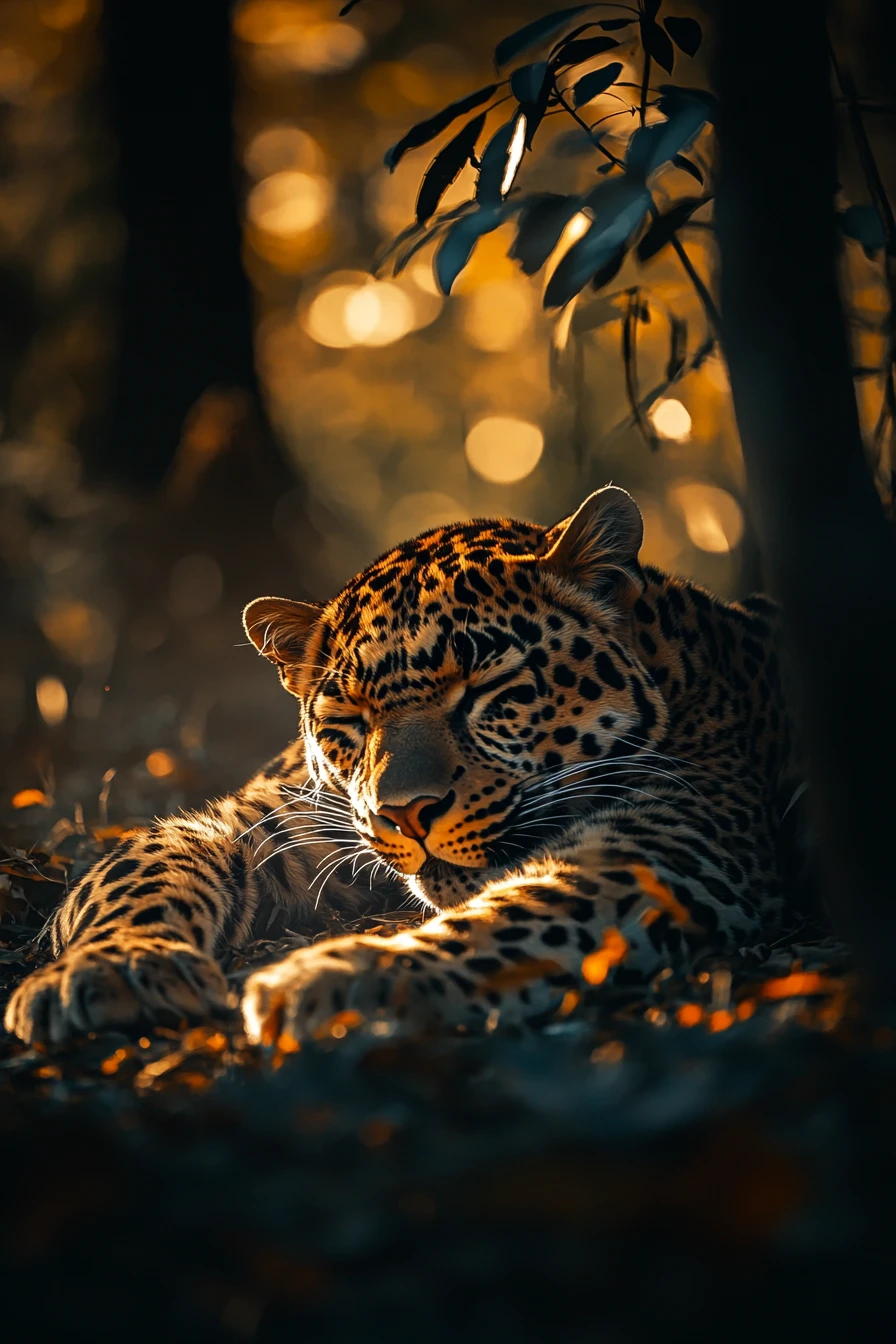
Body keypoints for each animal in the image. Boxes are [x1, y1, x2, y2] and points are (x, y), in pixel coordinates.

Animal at [5, 486, 800, 1047]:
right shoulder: (256, 819)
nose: (405, 815)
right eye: (349, 724)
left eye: (486, 689)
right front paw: (113, 966)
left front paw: (343, 977)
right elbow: (142, 870)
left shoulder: (666, 845)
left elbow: (509, 917)